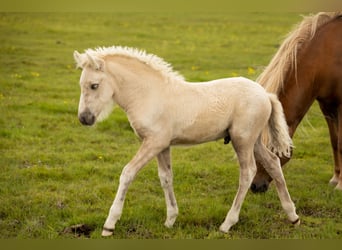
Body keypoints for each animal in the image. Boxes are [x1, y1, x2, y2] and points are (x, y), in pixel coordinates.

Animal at [73, 47, 300, 236]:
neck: (148, 94)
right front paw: (170, 219)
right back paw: (293, 216)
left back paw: (227, 224)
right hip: (254, 141)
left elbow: (127, 173)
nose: (84, 118)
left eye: (94, 85)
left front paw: (109, 224)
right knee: (273, 162)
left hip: (242, 140)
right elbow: (166, 177)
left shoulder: (153, 142)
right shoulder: (163, 145)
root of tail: (265, 94)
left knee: (248, 173)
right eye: (81, 85)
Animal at [251, 11, 342, 192]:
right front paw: (336, 178)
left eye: (271, 148)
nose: (255, 186)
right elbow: (334, 141)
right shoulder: (327, 106)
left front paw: (341, 184)